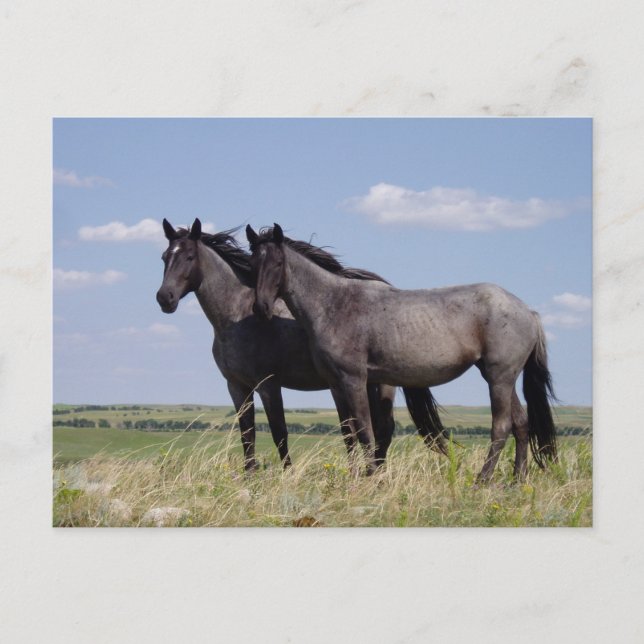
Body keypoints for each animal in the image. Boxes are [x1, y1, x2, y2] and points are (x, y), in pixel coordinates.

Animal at [156, 218, 444, 472]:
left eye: (189, 257)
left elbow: (279, 432)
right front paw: (249, 475)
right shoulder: (236, 386)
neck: (236, 317)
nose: (164, 298)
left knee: (383, 430)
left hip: (382, 384)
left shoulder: (269, 385)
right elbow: (247, 434)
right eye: (164, 257)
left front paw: (286, 474)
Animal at [246, 223, 558, 482]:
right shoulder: (335, 384)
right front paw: (354, 476)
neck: (333, 304)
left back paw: (483, 480)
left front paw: (370, 477)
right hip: (501, 377)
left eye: (278, 263)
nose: (260, 308)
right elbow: (348, 433)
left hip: (499, 378)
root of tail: (528, 312)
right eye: (252, 265)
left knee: (501, 426)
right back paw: (517, 480)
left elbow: (365, 431)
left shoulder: (355, 380)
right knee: (521, 424)